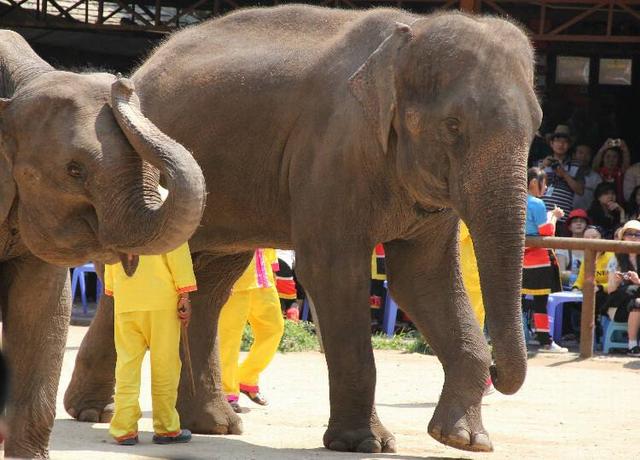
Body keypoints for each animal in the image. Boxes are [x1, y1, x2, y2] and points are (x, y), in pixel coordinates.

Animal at [3, 3, 540, 454]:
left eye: (536, 124)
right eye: (453, 125)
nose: (498, 371)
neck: (411, 32)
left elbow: (423, 280)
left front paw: (465, 441)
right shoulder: (330, 150)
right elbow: (332, 273)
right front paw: (366, 444)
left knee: (210, 281)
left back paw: (212, 424)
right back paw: (100, 413)